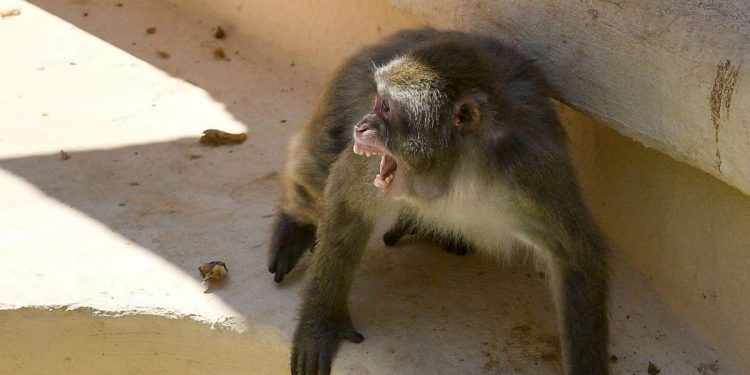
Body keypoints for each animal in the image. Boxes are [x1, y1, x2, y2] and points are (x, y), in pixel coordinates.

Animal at [270, 27, 612, 374]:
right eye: (378, 101)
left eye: (386, 108)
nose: (362, 126)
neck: (458, 171)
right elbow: (345, 195)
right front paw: (320, 321)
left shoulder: (532, 174)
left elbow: (577, 254)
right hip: (346, 93)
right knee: (317, 168)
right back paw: (294, 224)